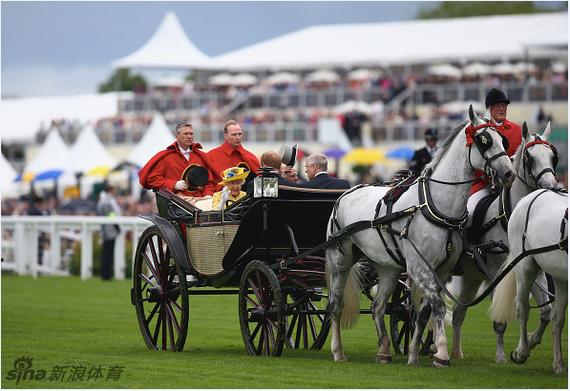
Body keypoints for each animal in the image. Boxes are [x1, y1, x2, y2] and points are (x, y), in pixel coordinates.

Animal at [324, 106, 516, 368]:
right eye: (484, 140)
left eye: (502, 139)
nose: (508, 173)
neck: (435, 205)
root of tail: (347, 192)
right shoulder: (419, 267)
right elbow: (437, 305)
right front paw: (441, 353)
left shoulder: (441, 270)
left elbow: (424, 312)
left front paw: (414, 353)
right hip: (340, 261)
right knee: (335, 305)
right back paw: (338, 351)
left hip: (388, 268)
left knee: (377, 307)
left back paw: (384, 351)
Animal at [450, 121, 556, 362]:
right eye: (529, 158)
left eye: (552, 156)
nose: (552, 187)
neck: (511, 216)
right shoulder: (495, 271)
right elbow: (499, 319)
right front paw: (501, 357)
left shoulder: (533, 269)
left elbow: (546, 311)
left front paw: (530, 342)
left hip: (471, 277)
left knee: (459, 312)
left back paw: (456, 352)